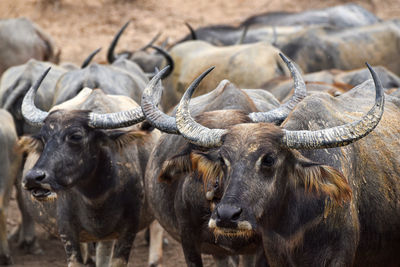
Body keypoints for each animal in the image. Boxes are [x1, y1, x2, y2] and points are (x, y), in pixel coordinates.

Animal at [18, 69, 162, 267]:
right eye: (44, 138)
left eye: (76, 136)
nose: (34, 178)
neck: (96, 199)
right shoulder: (67, 232)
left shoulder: (128, 229)